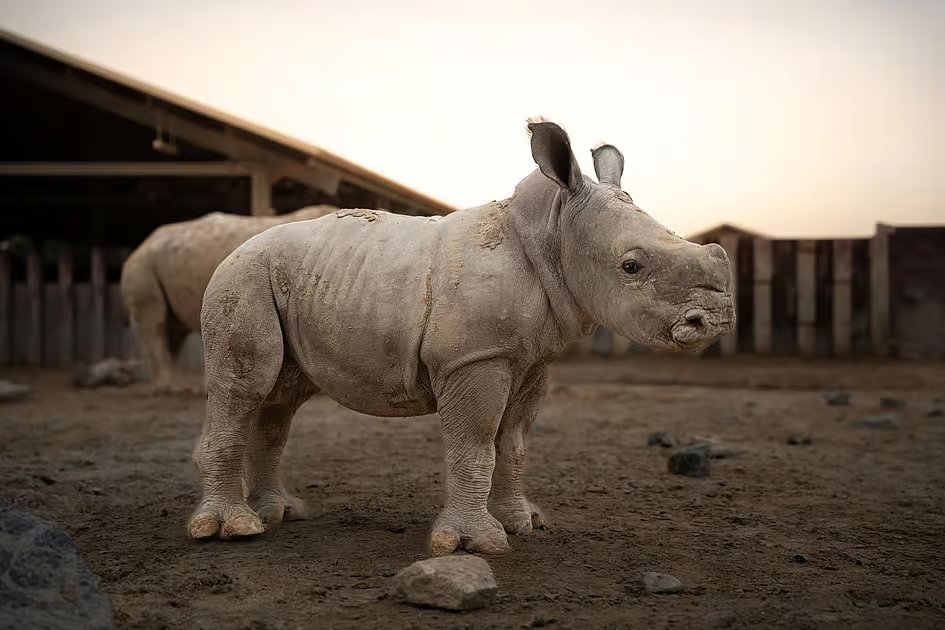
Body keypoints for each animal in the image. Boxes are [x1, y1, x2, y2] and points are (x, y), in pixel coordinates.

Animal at [120, 205, 336, 388]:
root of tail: (141, 245)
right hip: (142, 265)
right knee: (155, 322)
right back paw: (170, 388)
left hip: (160, 262)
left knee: (173, 328)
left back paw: (175, 387)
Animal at [188, 121, 735, 556]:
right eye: (631, 266)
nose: (713, 321)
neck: (552, 232)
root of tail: (239, 246)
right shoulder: (474, 357)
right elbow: (474, 445)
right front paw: (477, 543)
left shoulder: (532, 359)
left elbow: (513, 443)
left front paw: (524, 523)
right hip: (241, 279)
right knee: (245, 386)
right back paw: (233, 530)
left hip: (284, 280)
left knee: (280, 401)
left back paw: (283, 513)